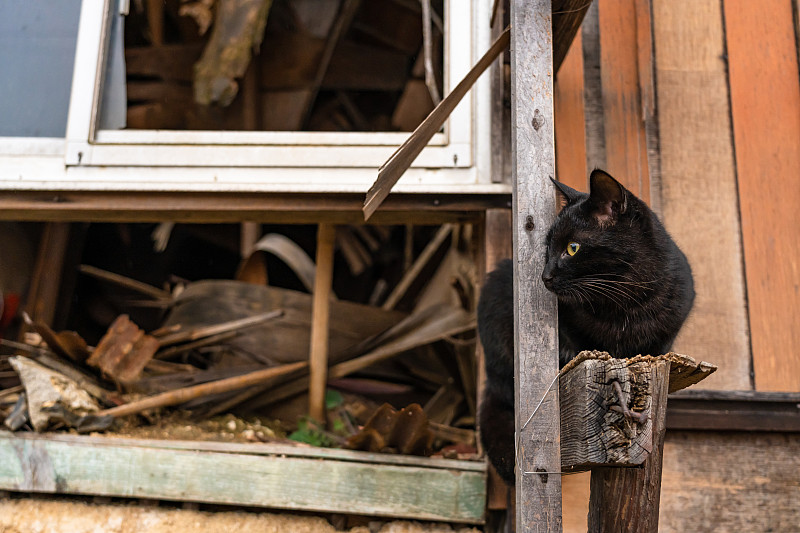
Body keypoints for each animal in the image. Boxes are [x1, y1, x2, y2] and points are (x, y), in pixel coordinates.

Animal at [478, 169, 696, 482]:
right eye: (547, 248)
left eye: (572, 248)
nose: (544, 276)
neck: (623, 304)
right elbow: (578, 340)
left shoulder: (670, 325)